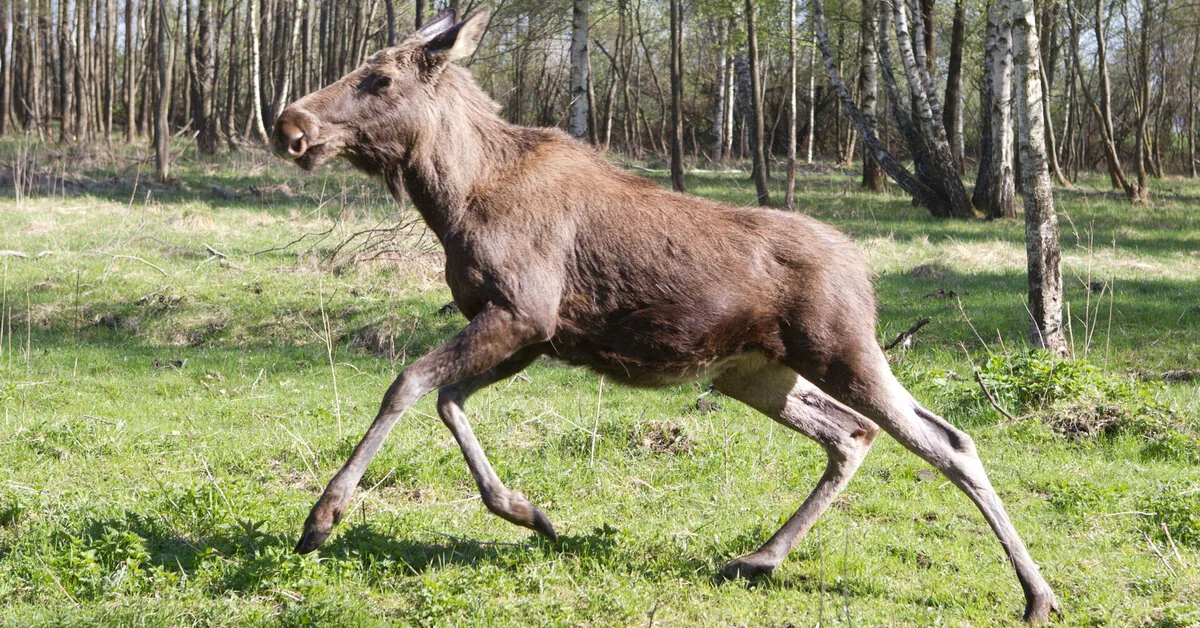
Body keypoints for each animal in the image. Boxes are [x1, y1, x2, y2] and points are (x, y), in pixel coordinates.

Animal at [269, 10, 1059, 623]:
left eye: (379, 79)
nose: (289, 124)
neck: (453, 196)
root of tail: (864, 274)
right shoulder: (533, 333)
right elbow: (449, 401)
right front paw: (529, 512)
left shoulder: (522, 313)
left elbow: (407, 384)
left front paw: (321, 518)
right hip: (754, 371)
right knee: (850, 435)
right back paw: (760, 557)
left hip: (841, 348)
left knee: (947, 440)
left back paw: (1037, 594)